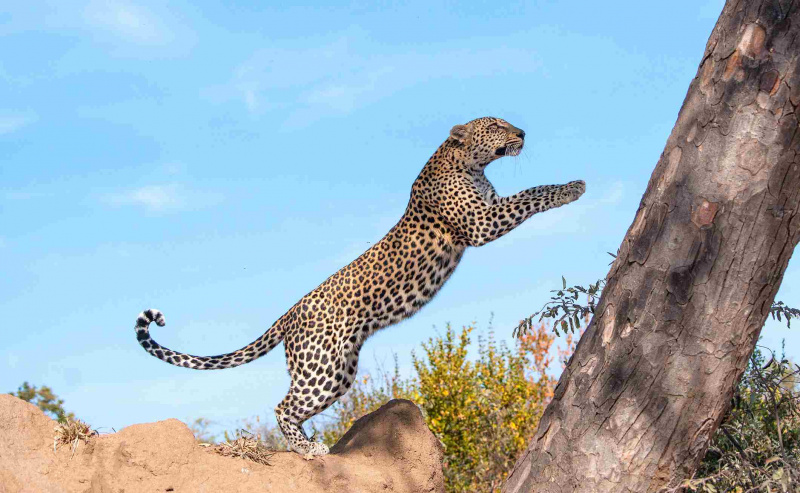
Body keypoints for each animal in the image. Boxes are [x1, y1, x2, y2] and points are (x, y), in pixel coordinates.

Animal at [133, 116, 585, 457]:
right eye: (494, 125)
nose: (523, 132)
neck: (470, 163)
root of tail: (289, 313)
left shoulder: (489, 211)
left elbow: (526, 193)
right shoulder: (482, 223)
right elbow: (531, 194)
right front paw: (571, 189)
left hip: (337, 369)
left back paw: (313, 444)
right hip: (323, 367)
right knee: (283, 406)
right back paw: (306, 450)